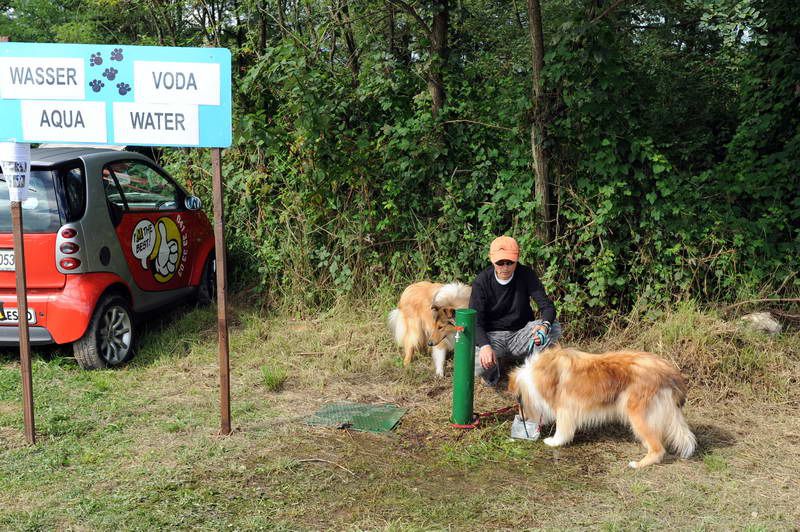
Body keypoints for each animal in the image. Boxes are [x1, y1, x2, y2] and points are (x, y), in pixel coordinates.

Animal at [512, 348, 692, 468]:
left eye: (518, 402)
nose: (520, 419)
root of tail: (669, 371)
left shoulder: (565, 408)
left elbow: (562, 430)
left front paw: (554, 442)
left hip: (638, 414)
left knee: (658, 449)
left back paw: (639, 463)